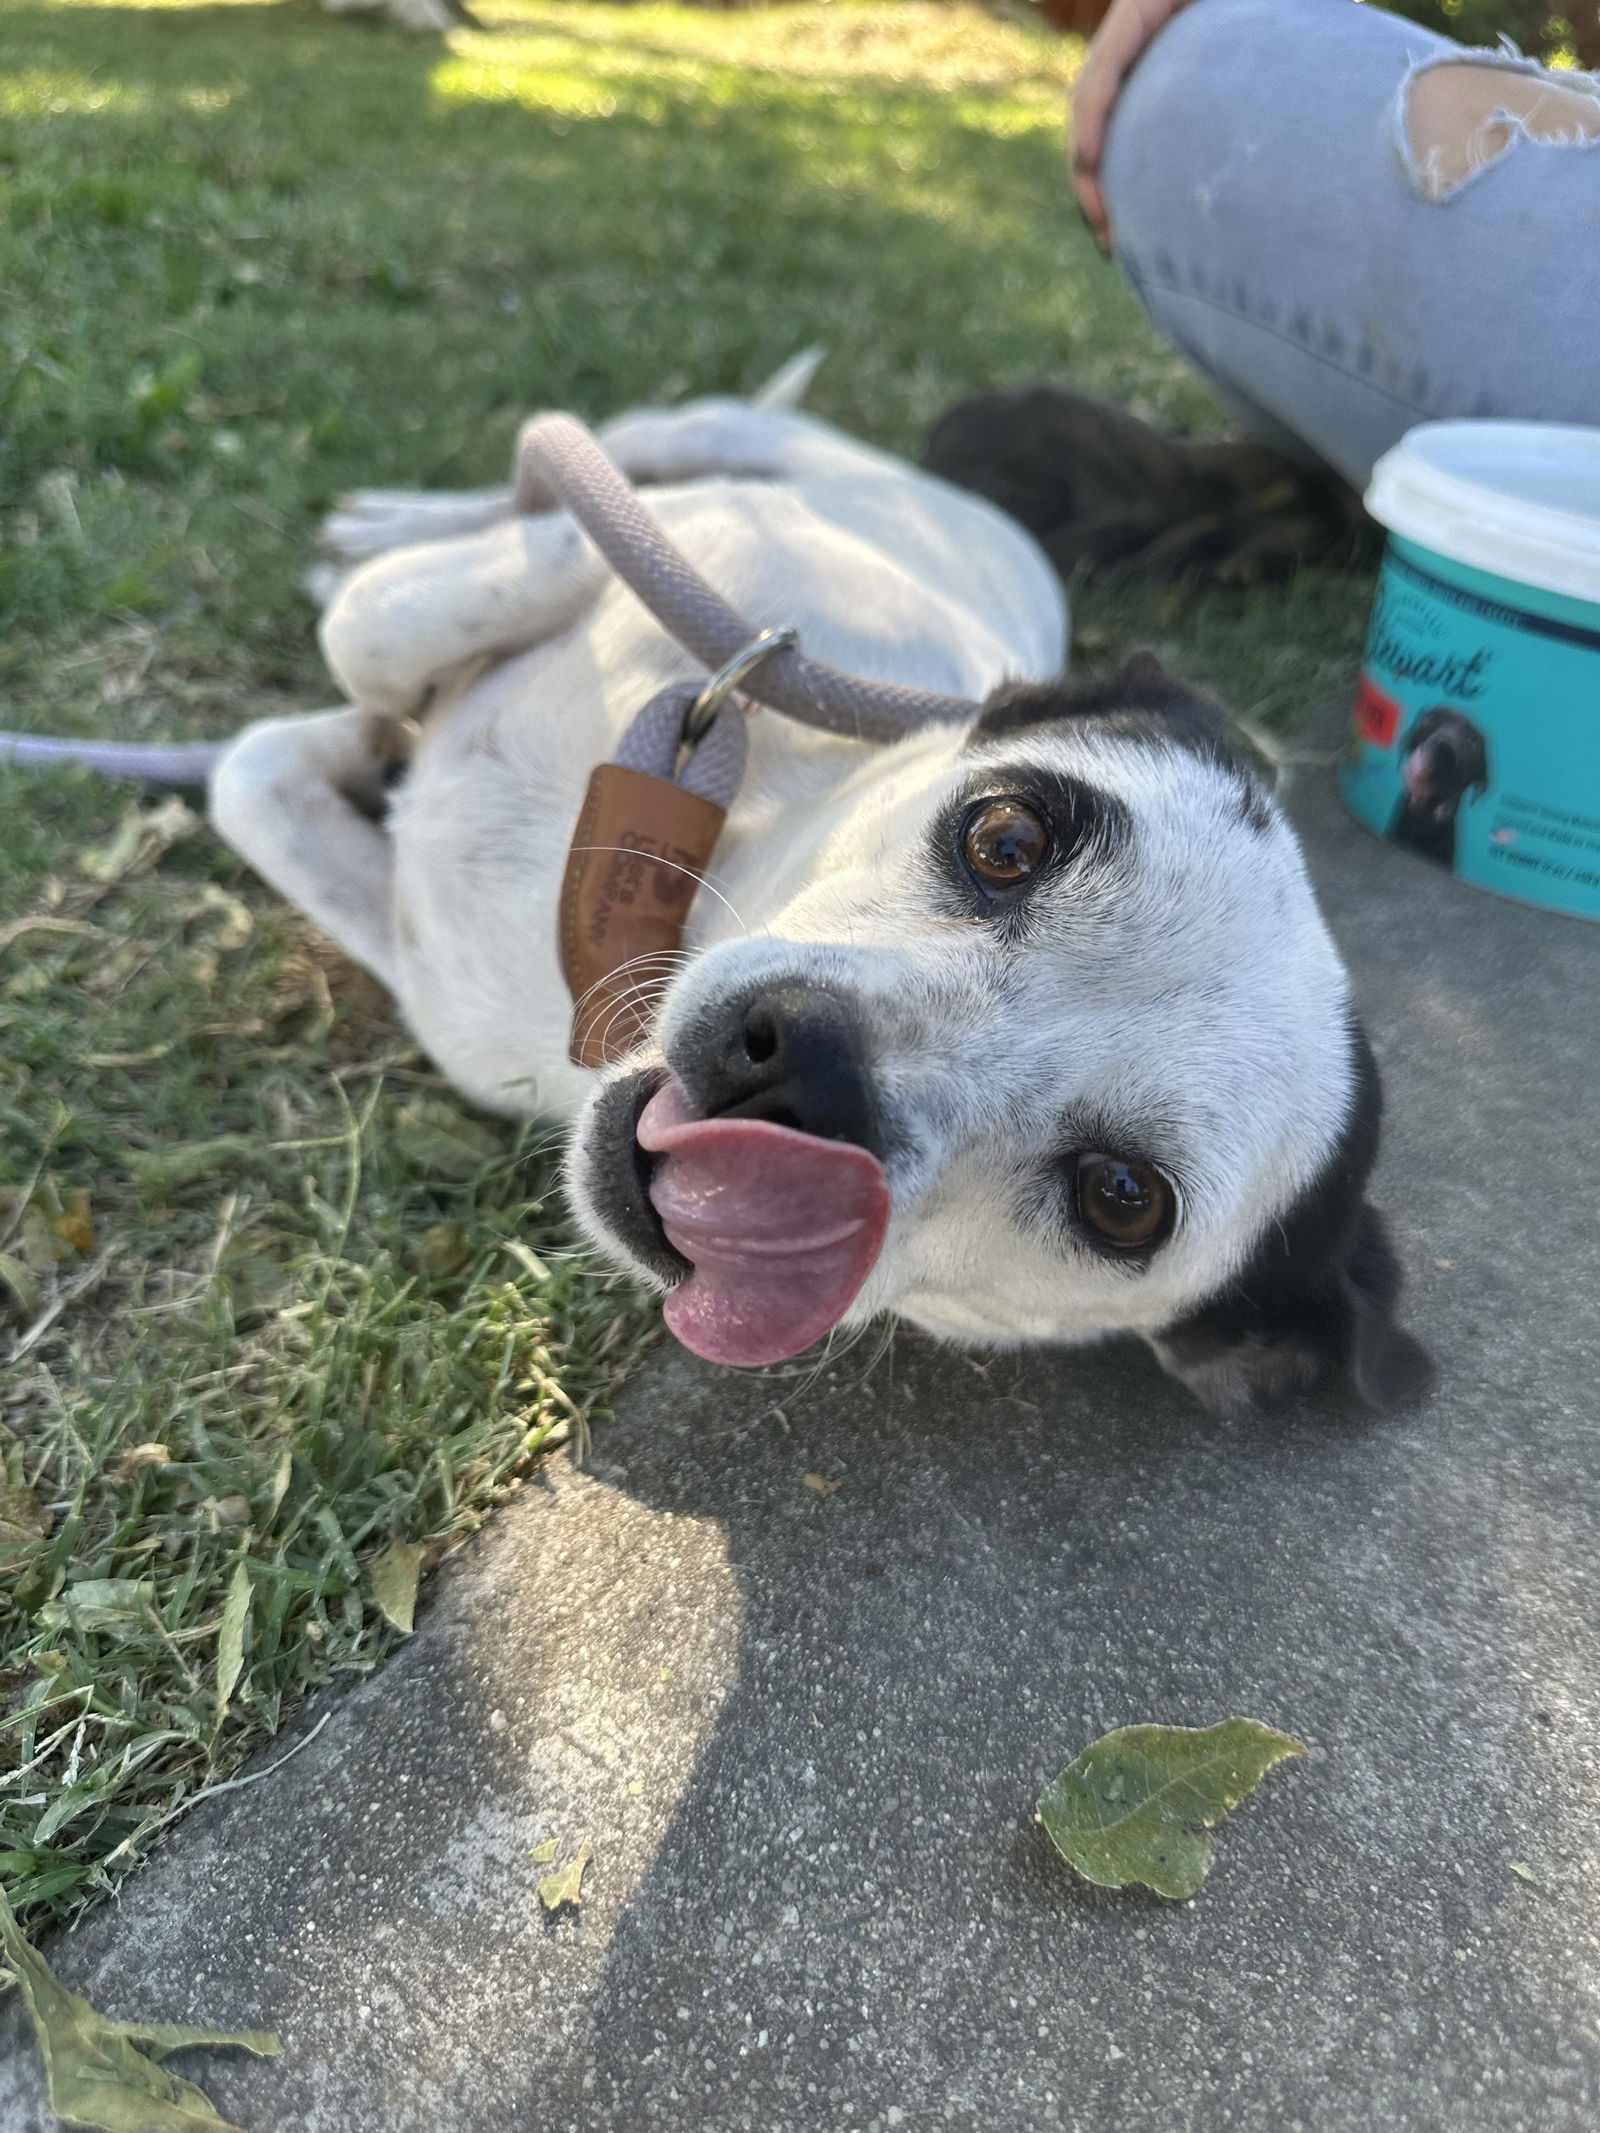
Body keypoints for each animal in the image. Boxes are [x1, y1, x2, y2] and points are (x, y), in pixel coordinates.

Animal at [190, 379, 1442, 1416]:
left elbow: (257, 765)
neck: (693, 884)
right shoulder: (713, 585)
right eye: (1005, 836)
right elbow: (388, 629)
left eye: (1122, 1196)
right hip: (716, 444)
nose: (799, 1059)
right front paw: (393, 682)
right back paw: (395, 520)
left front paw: (366, 744)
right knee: (599, 458)